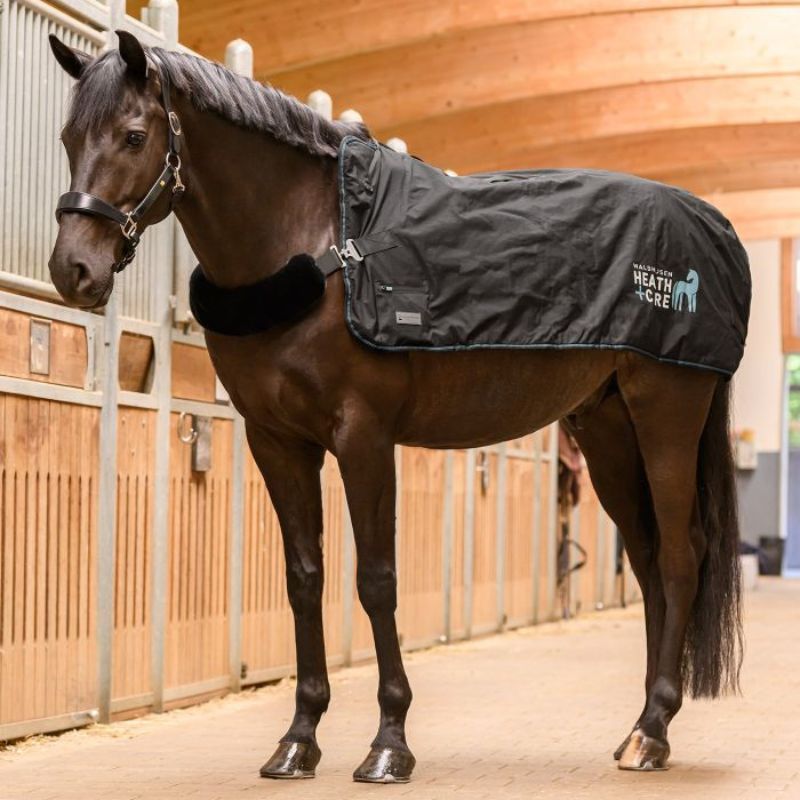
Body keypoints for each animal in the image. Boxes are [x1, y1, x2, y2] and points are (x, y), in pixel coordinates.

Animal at [47, 31, 745, 783]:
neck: (318, 244)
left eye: (134, 135)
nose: (73, 271)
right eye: (68, 137)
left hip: (666, 413)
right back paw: (642, 727)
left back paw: (652, 731)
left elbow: (376, 580)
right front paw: (298, 741)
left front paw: (389, 744)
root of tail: (711, 226)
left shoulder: (364, 435)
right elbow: (304, 579)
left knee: (680, 555)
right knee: (646, 560)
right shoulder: (277, 441)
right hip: (609, 430)